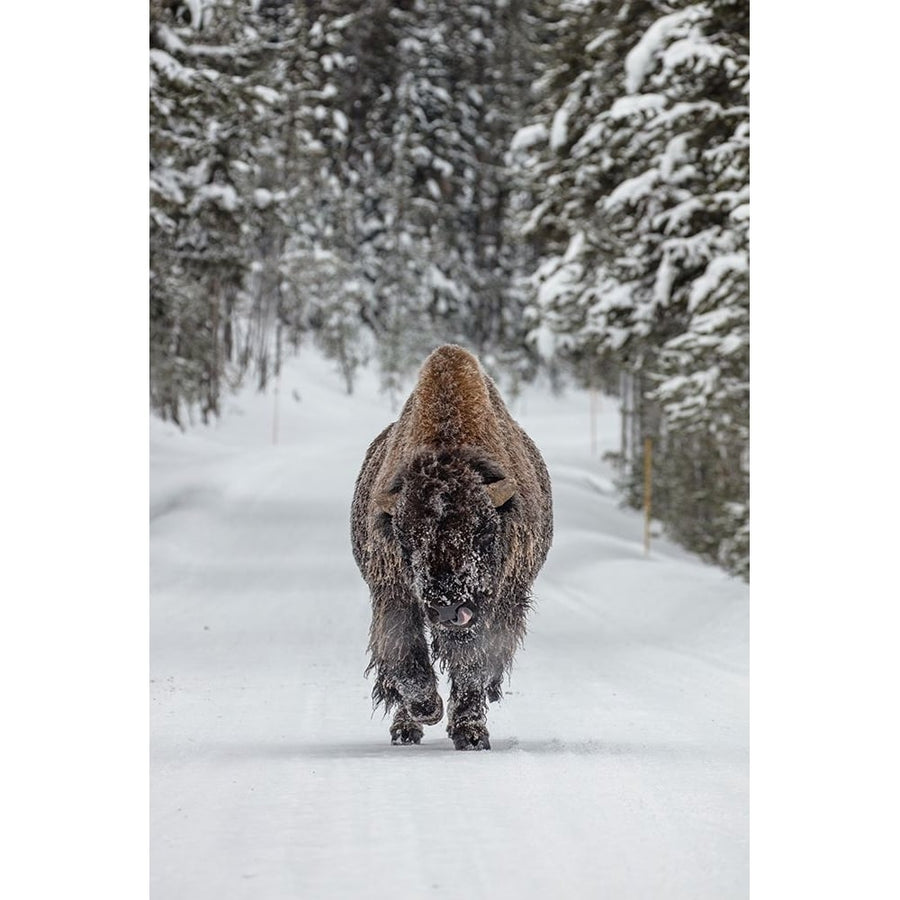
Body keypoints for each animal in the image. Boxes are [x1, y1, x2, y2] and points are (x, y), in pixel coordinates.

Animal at [350, 342, 548, 748]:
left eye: (484, 532)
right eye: (406, 538)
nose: (447, 609)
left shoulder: (500, 604)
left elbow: (474, 665)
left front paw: (471, 733)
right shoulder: (394, 594)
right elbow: (405, 658)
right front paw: (427, 710)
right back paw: (405, 729)